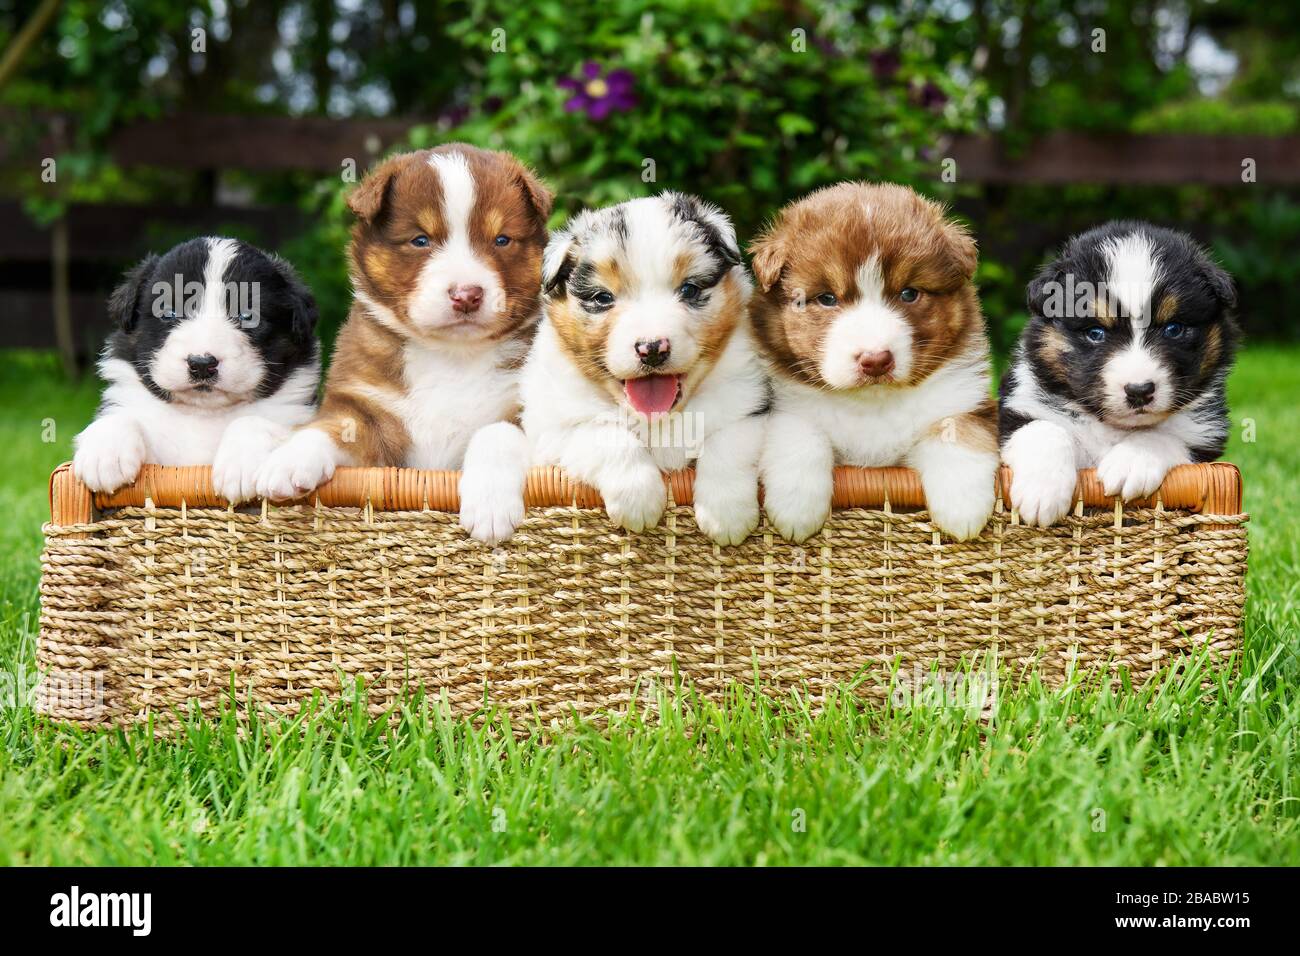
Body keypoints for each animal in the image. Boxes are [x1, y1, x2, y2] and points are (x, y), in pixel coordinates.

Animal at [74, 238, 322, 502]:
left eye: (247, 315)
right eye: (169, 312)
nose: (202, 364)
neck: (203, 413)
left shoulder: (295, 415)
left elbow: (253, 422)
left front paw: (239, 466)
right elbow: (120, 417)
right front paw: (103, 456)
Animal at [256, 143, 551, 546]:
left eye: (502, 239)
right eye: (420, 240)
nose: (467, 295)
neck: (451, 356)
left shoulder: (526, 408)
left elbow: (496, 433)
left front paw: (489, 506)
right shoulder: (368, 413)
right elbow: (330, 427)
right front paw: (286, 462)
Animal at [520, 192, 769, 546]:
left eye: (690, 289)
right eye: (602, 297)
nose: (652, 349)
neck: (659, 420)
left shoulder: (750, 404)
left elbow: (728, 442)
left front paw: (726, 515)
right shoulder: (553, 430)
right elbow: (605, 434)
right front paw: (640, 499)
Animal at [754, 183, 993, 541]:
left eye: (909, 294)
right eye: (827, 298)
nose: (876, 360)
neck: (872, 403)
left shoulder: (969, 401)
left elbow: (957, 429)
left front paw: (963, 507)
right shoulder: (786, 403)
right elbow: (798, 430)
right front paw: (796, 509)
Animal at [993, 221, 1237, 528]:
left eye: (1174, 329)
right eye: (1095, 333)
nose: (1139, 391)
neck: (1111, 427)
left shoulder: (1205, 437)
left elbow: (1163, 435)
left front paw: (1131, 462)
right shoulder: (1013, 410)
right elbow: (1044, 429)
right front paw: (1042, 492)